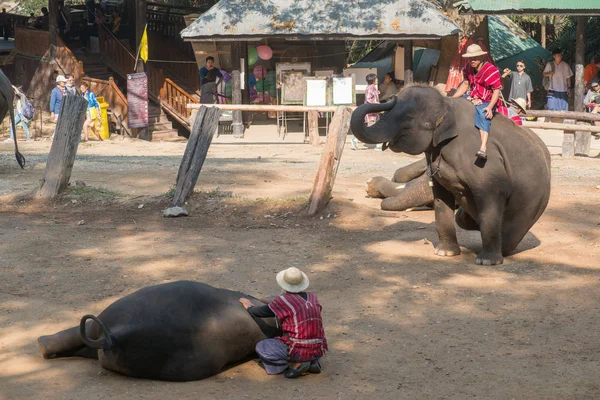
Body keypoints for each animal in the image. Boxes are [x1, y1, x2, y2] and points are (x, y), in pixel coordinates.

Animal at [350, 85, 552, 266]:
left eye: (408, 119)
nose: (389, 96)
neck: (447, 105)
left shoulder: (484, 164)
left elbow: (491, 195)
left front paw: (487, 261)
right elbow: (441, 197)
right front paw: (445, 253)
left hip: (531, 204)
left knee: (509, 235)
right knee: (461, 218)